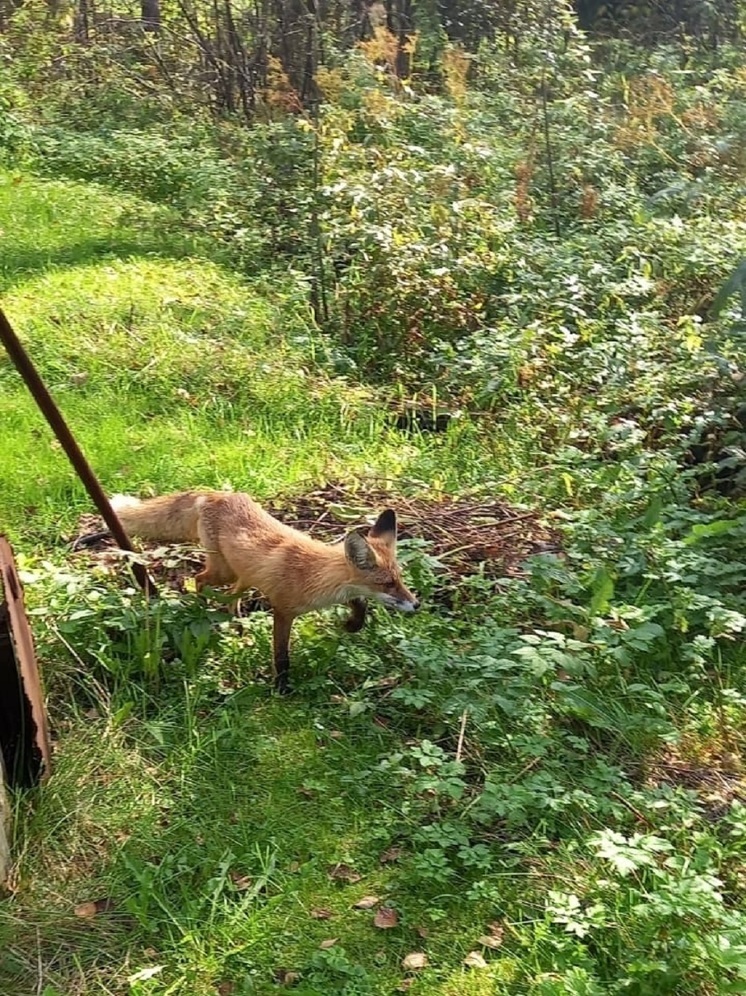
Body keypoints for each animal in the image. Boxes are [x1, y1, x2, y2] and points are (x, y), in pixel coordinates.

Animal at [109, 490, 418, 692]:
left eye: (400, 580)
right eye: (387, 584)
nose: (416, 605)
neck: (312, 575)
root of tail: (217, 493)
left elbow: (359, 602)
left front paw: (353, 624)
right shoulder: (282, 611)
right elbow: (281, 657)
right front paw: (281, 688)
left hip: (243, 575)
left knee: (231, 596)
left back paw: (235, 622)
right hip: (223, 571)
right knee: (199, 579)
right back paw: (202, 609)